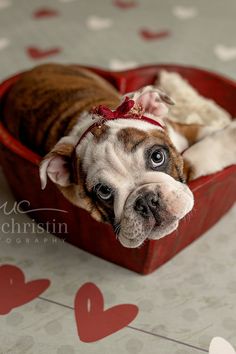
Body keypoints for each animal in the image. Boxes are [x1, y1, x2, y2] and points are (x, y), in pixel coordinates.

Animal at [1, 63, 234, 246]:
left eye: (157, 157)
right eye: (104, 191)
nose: (146, 200)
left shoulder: (181, 130)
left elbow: (203, 134)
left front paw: (226, 131)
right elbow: (194, 158)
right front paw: (229, 141)